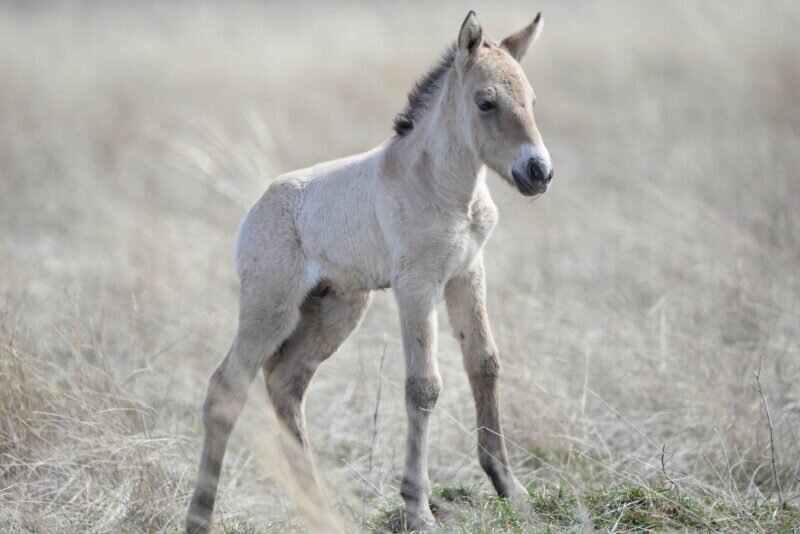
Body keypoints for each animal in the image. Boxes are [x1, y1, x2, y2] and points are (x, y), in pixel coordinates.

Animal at [187, 10, 552, 532]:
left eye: (532, 100)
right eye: (485, 102)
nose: (538, 172)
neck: (443, 187)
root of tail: (254, 209)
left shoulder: (467, 274)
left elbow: (484, 365)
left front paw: (512, 491)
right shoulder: (417, 283)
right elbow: (423, 386)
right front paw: (417, 510)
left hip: (338, 309)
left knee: (285, 382)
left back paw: (321, 512)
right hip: (269, 308)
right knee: (226, 389)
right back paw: (200, 517)